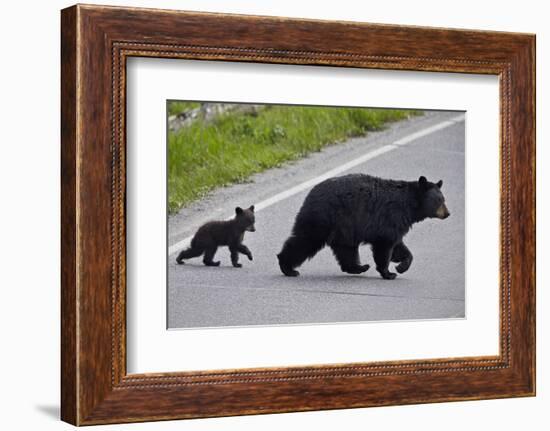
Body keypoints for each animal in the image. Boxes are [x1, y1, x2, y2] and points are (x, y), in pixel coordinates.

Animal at [278, 175, 450, 280]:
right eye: (439, 200)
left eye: (444, 199)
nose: (448, 213)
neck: (409, 205)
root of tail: (310, 194)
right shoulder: (390, 217)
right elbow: (385, 247)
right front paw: (389, 273)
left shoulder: (396, 224)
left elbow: (399, 246)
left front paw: (401, 266)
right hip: (324, 218)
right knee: (305, 241)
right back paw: (288, 268)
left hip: (343, 229)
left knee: (346, 250)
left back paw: (360, 267)